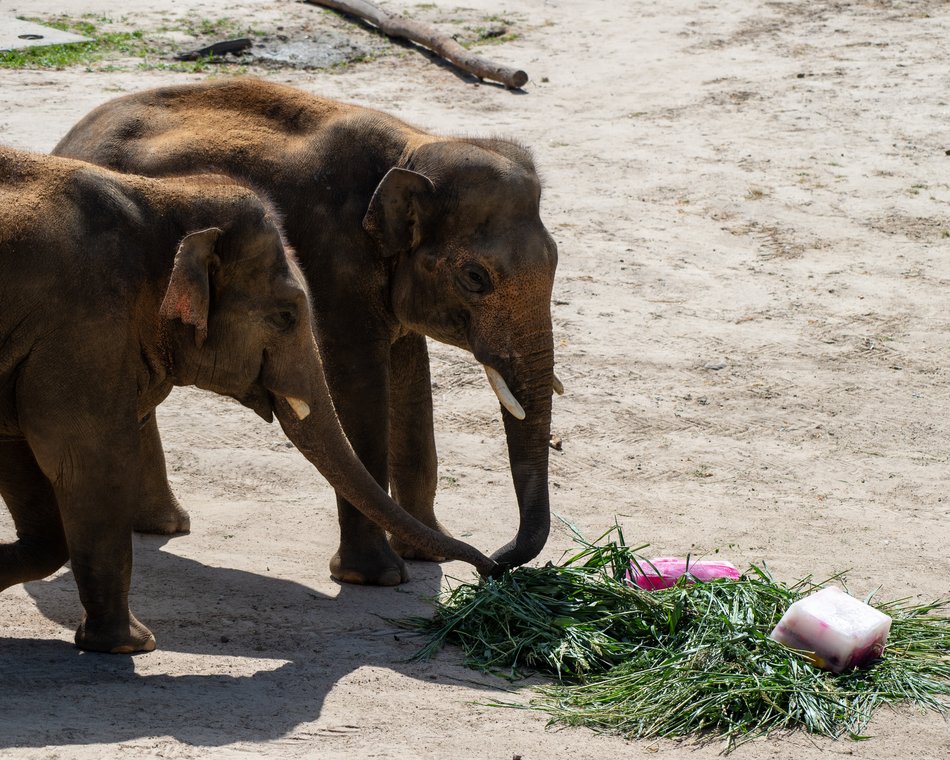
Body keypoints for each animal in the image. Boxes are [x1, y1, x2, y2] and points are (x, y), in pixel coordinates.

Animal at [0, 147, 502, 652]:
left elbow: (24, 463)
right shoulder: (83, 330)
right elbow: (88, 463)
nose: (494, 569)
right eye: (284, 317)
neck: (158, 198)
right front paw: (131, 645)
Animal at [55, 77, 560, 588]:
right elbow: (358, 387)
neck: (414, 146)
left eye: (555, 259)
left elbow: (412, 381)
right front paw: (375, 577)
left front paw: (426, 553)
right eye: (475, 278)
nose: (496, 563)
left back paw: (166, 525)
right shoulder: (337, 264)